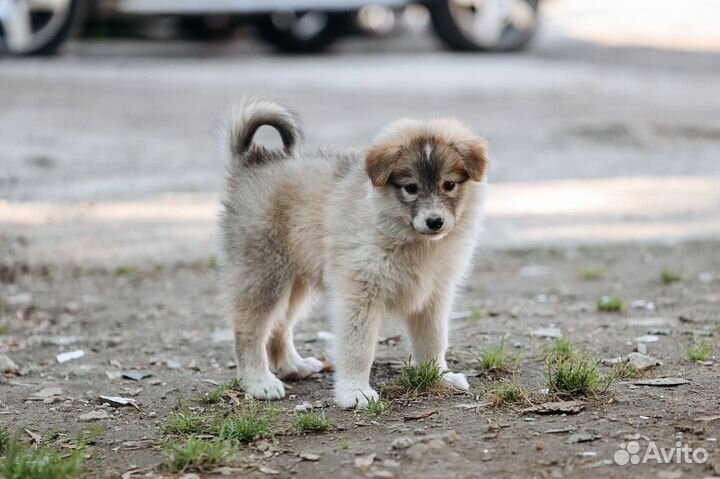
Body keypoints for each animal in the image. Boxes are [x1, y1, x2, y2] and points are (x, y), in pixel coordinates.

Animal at [219, 98, 486, 408]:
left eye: (449, 185)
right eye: (411, 188)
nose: (435, 222)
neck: (411, 240)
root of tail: (253, 160)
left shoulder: (434, 294)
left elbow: (433, 340)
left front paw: (439, 376)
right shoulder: (359, 293)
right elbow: (359, 347)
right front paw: (355, 392)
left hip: (295, 280)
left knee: (280, 325)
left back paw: (293, 366)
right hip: (264, 273)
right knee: (250, 329)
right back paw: (259, 381)